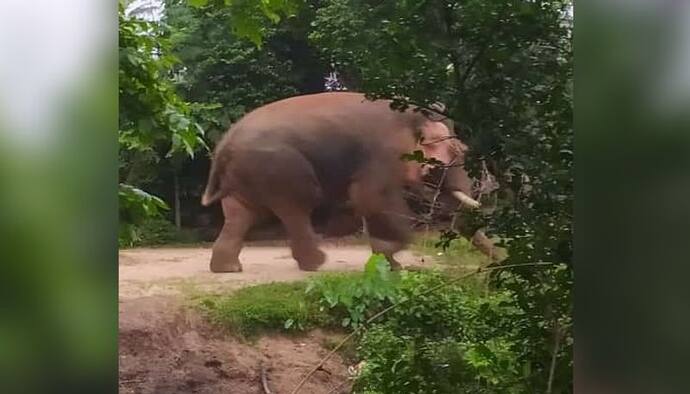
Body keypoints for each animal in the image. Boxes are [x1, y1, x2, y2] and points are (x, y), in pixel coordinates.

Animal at [200, 92, 484, 272]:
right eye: (458, 151)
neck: (413, 114)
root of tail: (224, 145)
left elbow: (362, 202)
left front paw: (391, 264)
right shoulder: (382, 153)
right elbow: (370, 197)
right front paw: (395, 254)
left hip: (246, 175)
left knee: (240, 215)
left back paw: (229, 268)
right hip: (277, 169)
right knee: (296, 207)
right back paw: (316, 263)